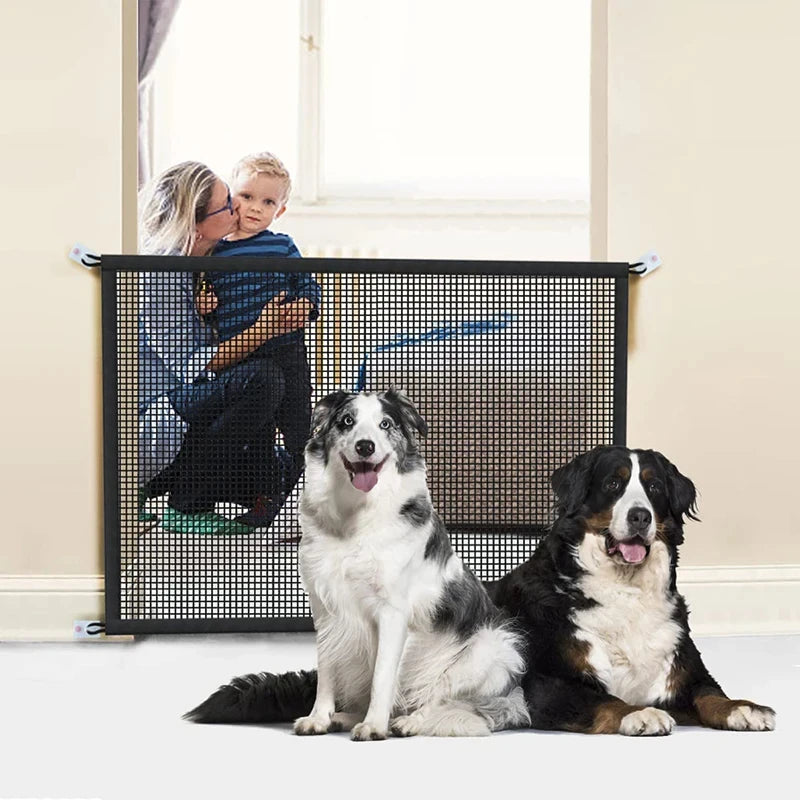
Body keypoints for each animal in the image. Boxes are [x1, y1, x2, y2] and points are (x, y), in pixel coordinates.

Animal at [184, 390, 528, 740]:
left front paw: (374, 725)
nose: (365, 446)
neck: (357, 517)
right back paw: (346, 717)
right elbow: (327, 672)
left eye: (386, 424)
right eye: (347, 421)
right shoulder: (325, 610)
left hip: (497, 648)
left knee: (445, 698)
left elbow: (382, 677)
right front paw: (320, 717)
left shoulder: (392, 613)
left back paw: (410, 721)